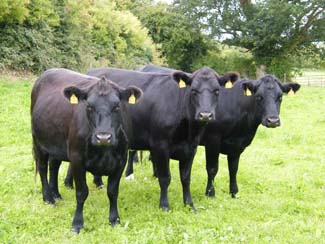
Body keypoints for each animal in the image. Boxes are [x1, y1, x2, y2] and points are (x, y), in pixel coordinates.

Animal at [31, 68, 141, 233]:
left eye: (117, 106)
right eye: (89, 106)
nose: (103, 137)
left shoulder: (121, 160)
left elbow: (112, 192)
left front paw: (114, 220)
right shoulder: (77, 159)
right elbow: (82, 192)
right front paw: (77, 224)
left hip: (57, 145)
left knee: (54, 165)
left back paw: (56, 194)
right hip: (39, 142)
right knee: (43, 168)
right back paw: (48, 198)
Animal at [85, 67, 238, 212]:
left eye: (217, 91)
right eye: (194, 90)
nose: (205, 115)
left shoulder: (191, 148)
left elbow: (185, 178)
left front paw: (189, 205)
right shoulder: (160, 145)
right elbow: (165, 178)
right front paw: (164, 206)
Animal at [138, 64, 300, 198]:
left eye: (280, 97)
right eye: (259, 97)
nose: (273, 120)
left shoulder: (238, 144)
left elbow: (234, 168)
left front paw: (234, 192)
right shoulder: (213, 140)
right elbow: (212, 168)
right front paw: (210, 193)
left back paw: (155, 174)